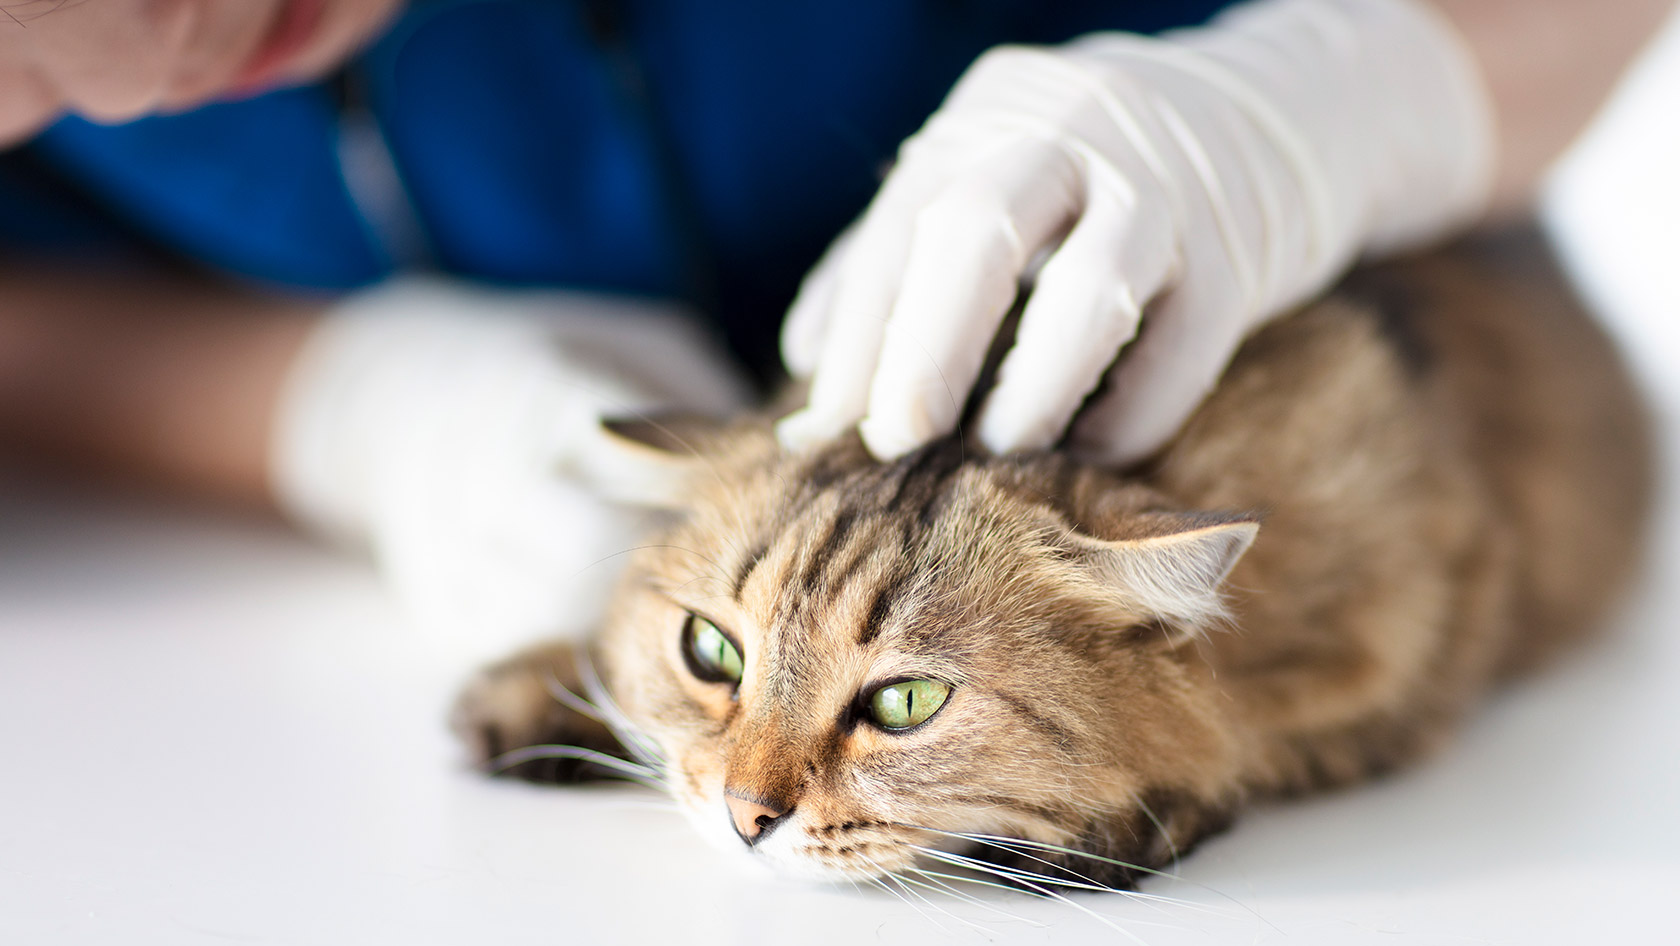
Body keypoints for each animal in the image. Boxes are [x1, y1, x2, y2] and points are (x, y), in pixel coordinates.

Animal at [450, 226, 1653, 887]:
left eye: (904, 705)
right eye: (713, 652)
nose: (747, 818)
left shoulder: (1421, 637)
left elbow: (1251, 743)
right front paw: (541, 689)